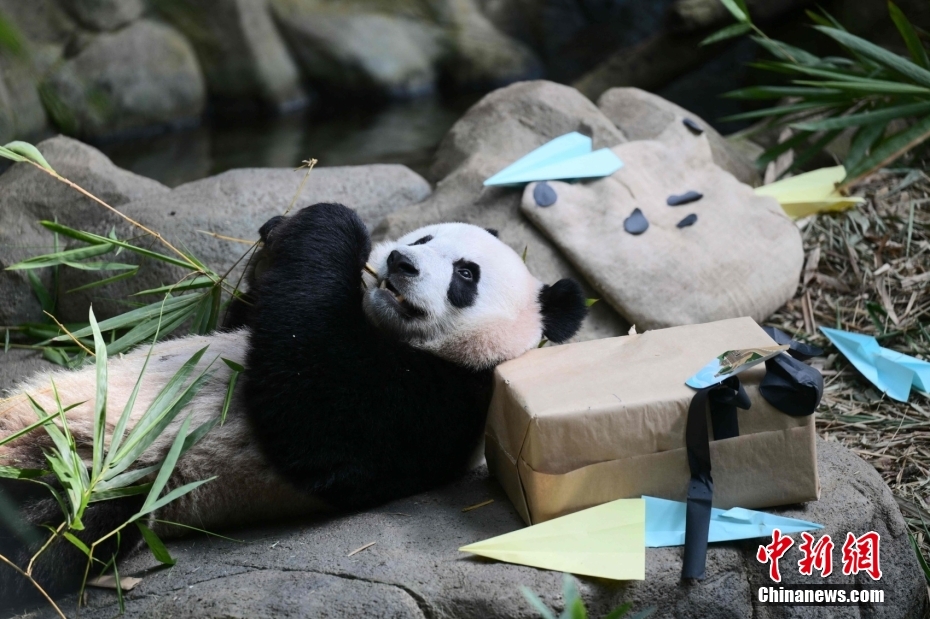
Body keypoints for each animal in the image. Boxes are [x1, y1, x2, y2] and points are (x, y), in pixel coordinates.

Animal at [0, 202, 587, 606]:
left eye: (466, 274)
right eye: (424, 237)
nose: (400, 262)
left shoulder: (443, 404)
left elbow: (320, 415)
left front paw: (335, 223)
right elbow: (250, 316)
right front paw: (277, 232)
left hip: (112, 483)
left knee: (51, 539)